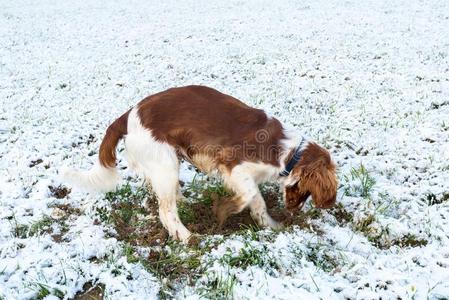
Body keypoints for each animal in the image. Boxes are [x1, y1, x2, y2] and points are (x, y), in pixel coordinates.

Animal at [63, 85, 336, 243]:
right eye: (308, 192)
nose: (293, 211)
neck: (289, 151)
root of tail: (128, 114)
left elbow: (257, 201)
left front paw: (270, 225)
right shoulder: (234, 166)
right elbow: (250, 194)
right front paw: (225, 209)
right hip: (165, 163)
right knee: (165, 211)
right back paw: (187, 238)